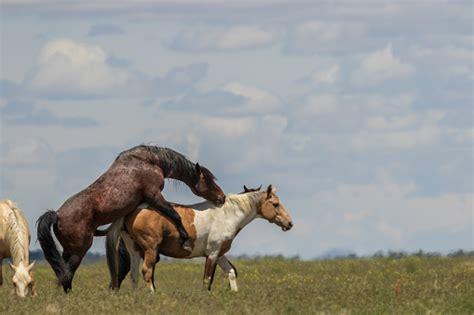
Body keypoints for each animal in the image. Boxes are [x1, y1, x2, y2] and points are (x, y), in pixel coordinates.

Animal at [36, 146, 225, 294]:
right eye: (207, 180)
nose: (222, 197)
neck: (150, 162)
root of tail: (57, 215)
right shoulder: (154, 196)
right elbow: (174, 215)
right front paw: (185, 239)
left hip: (68, 251)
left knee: (62, 273)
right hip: (79, 251)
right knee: (67, 274)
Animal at [104, 185, 292, 294]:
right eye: (275, 204)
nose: (289, 223)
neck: (227, 216)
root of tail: (134, 210)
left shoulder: (220, 254)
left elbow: (231, 272)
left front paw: (234, 294)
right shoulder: (213, 254)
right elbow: (207, 279)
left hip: (135, 249)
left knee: (134, 274)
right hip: (151, 249)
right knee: (146, 271)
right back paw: (152, 295)